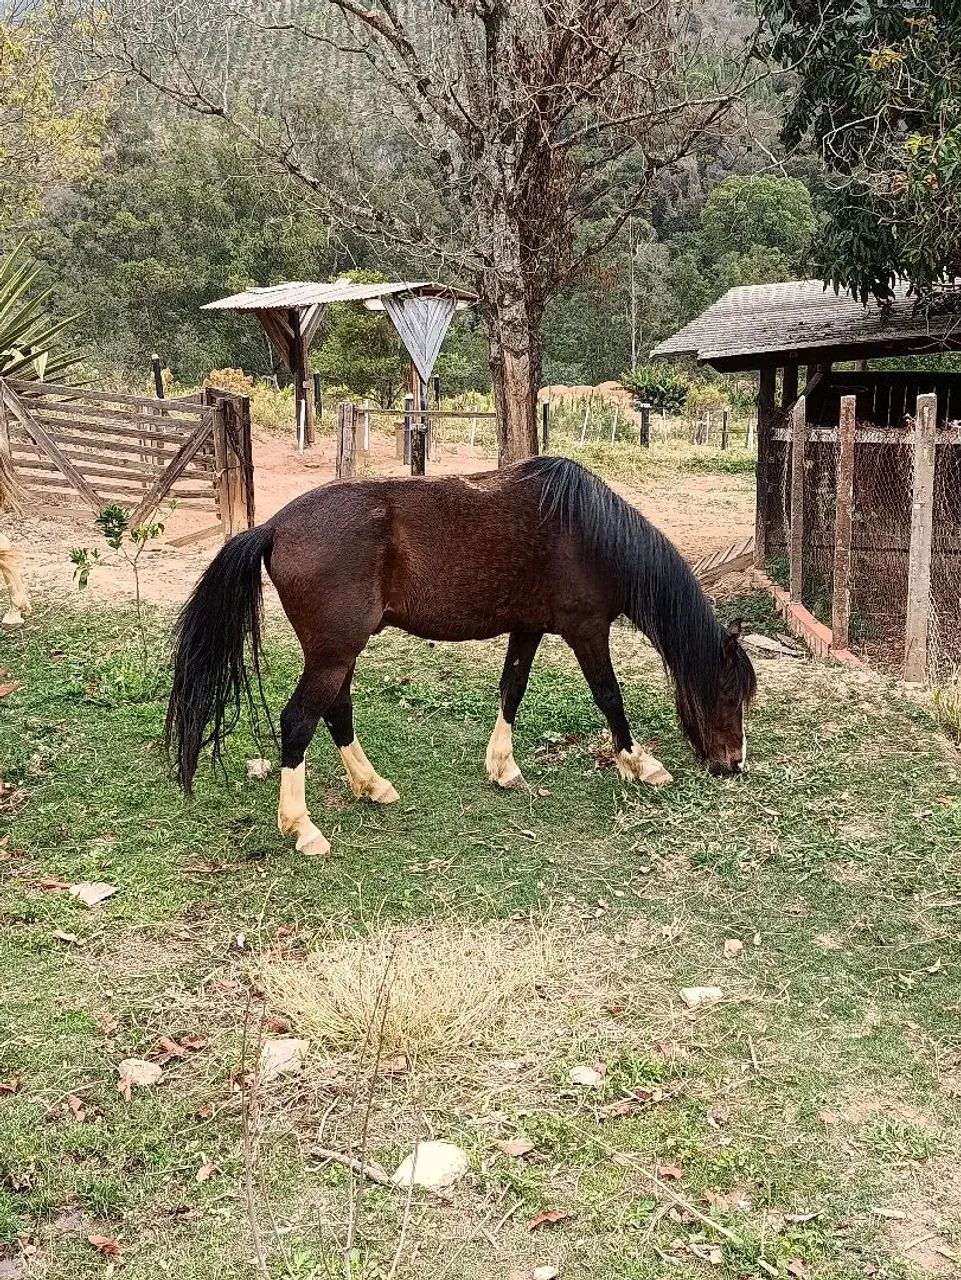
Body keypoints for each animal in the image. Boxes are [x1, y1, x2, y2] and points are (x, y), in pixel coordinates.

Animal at [167, 457, 756, 856]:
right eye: (730, 694)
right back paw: (302, 827)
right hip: (333, 653)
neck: (588, 534)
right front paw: (641, 764)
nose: (734, 765)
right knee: (298, 722)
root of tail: (273, 528)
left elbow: (512, 689)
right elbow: (609, 697)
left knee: (336, 712)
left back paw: (372, 785)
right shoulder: (586, 632)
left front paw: (504, 768)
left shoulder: (527, 628)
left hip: (338, 653)